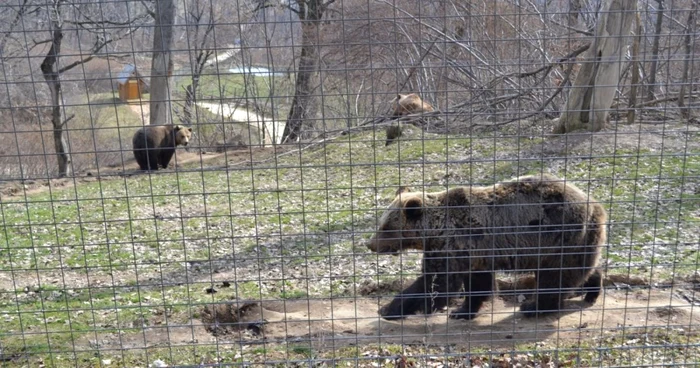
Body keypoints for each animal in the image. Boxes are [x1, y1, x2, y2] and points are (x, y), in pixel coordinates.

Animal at [366, 174, 608, 320]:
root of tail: (596, 205)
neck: (435, 231)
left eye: (386, 227)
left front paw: (391, 308)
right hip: (577, 240)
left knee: (556, 277)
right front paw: (463, 311)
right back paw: (591, 291)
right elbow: (478, 284)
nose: (370, 244)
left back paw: (533, 306)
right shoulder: (475, 253)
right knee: (583, 267)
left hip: (558, 236)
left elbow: (437, 283)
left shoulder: (453, 246)